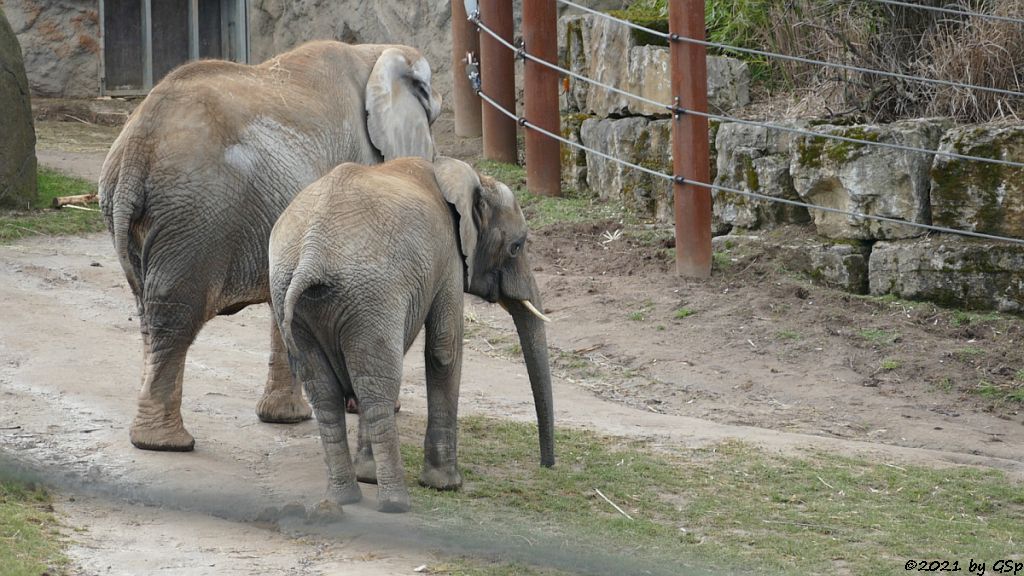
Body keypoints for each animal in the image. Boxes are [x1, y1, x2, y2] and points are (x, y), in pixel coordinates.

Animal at [96, 41, 444, 453]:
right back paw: (166, 443)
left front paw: (285, 418)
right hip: (195, 214)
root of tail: (137, 147)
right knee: (174, 313)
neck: (373, 53)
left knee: (148, 313)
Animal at [268, 154, 557, 508]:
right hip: (369, 294)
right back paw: (395, 503)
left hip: (297, 299)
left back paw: (346, 496)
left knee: (327, 392)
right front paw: (446, 485)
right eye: (516, 247)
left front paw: (370, 476)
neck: (465, 175)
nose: (547, 466)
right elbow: (445, 349)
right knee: (377, 385)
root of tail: (311, 254)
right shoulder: (449, 256)